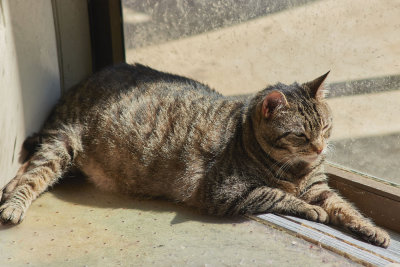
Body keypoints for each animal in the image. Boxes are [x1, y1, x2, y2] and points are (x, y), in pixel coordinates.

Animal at [0, 63, 390, 248]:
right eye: (300, 134)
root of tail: (76, 87)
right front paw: (309, 209)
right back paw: (13, 205)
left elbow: (346, 207)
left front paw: (373, 231)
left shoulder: (319, 186)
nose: (322, 148)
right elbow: (277, 194)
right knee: (31, 175)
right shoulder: (224, 192)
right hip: (62, 145)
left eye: (326, 126)